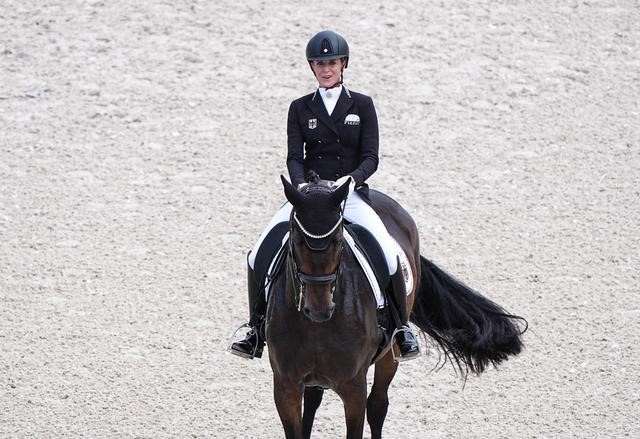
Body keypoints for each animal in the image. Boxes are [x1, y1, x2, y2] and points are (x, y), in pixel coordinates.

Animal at [264, 176, 524, 439]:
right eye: (296, 240)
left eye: (337, 241)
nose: (319, 310)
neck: (317, 328)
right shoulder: (285, 387)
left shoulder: (353, 387)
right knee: (314, 401)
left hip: (390, 352)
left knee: (378, 405)